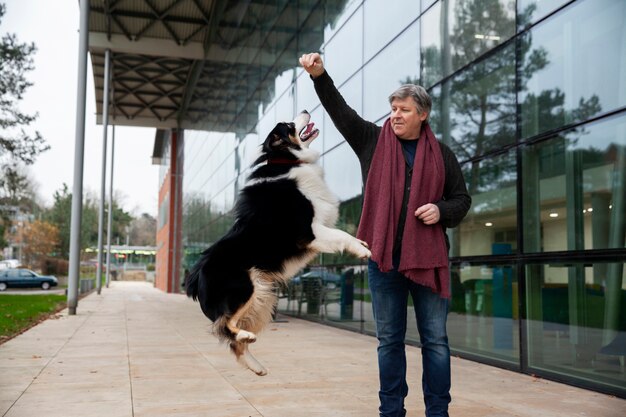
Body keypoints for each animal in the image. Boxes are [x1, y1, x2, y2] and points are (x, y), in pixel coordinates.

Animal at [185, 109, 370, 374]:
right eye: (289, 125)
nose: (305, 110)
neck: (286, 159)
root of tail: (196, 275)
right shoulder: (309, 231)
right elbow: (342, 235)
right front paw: (362, 250)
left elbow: (344, 232)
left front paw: (362, 245)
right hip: (245, 286)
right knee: (224, 325)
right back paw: (245, 337)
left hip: (262, 297)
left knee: (233, 341)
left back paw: (256, 365)